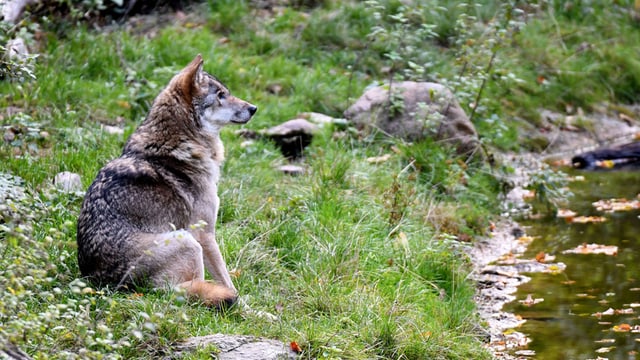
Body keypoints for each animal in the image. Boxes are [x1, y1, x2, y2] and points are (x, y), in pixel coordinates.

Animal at [75, 54, 255, 310]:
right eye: (220, 95)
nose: (253, 108)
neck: (181, 142)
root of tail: (102, 282)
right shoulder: (205, 234)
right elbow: (228, 282)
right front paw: (253, 311)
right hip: (188, 242)